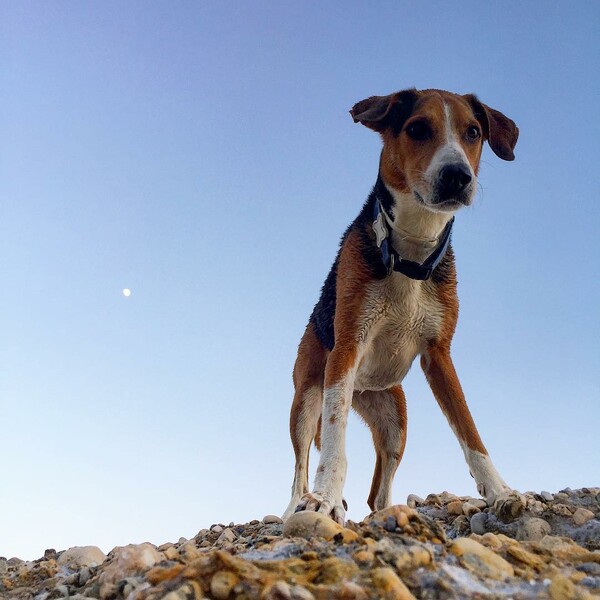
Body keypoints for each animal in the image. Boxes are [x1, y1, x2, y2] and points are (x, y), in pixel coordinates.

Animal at [284, 86, 524, 524]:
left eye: (473, 132)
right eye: (416, 129)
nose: (457, 176)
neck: (410, 251)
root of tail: (364, 389)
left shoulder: (439, 355)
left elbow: (471, 433)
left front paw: (500, 491)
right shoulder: (346, 348)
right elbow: (334, 447)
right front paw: (325, 498)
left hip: (395, 423)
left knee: (377, 493)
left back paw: (390, 512)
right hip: (307, 398)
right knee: (300, 464)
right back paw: (296, 504)